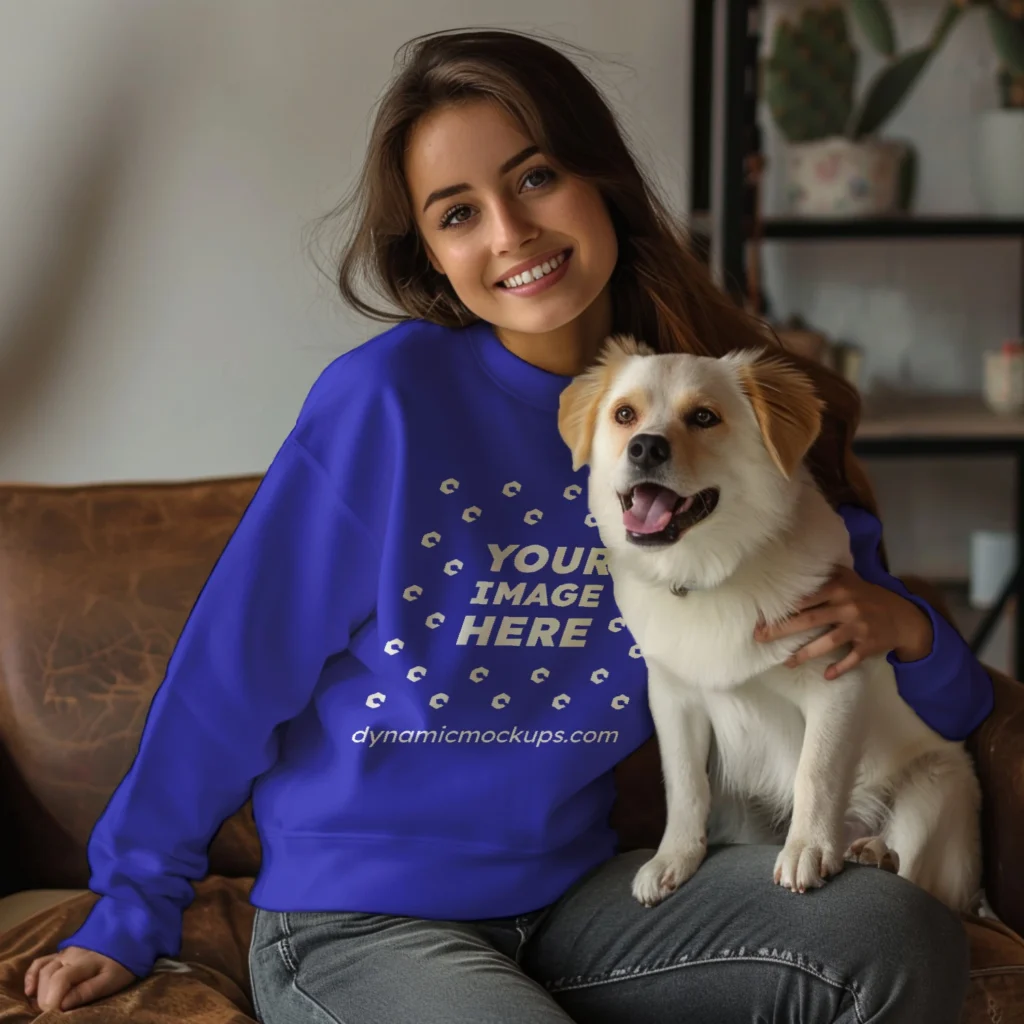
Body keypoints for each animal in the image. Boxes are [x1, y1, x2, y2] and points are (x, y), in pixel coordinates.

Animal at [561, 335, 983, 913]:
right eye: (625, 414)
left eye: (704, 417)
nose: (645, 447)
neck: (710, 573)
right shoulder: (673, 699)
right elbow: (685, 785)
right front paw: (674, 858)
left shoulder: (835, 681)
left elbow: (816, 774)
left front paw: (809, 848)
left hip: (934, 788)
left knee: (918, 872)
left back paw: (872, 852)